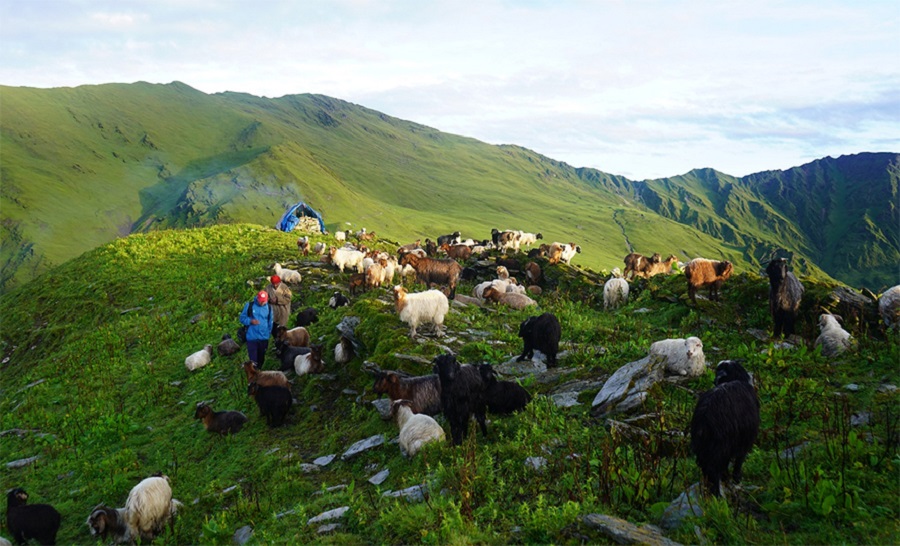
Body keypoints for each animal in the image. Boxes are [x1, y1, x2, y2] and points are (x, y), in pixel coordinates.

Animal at [688, 360, 760, 496]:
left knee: (707, 468)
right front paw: (736, 480)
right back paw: (717, 494)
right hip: (721, 445)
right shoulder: (744, 440)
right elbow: (739, 461)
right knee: (714, 468)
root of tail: (704, 418)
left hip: (704, 447)